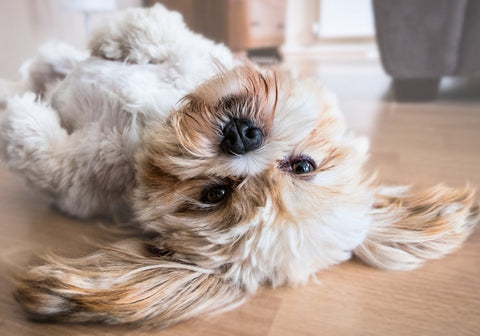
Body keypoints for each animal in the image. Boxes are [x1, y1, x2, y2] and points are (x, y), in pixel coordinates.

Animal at [0, 4, 478, 328]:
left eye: (215, 193)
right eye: (304, 166)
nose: (242, 136)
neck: (151, 125)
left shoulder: (79, 182)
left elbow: (44, 154)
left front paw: (17, 115)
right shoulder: (193, 57)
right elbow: (163, 36)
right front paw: (123, 36)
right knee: (47, 61)